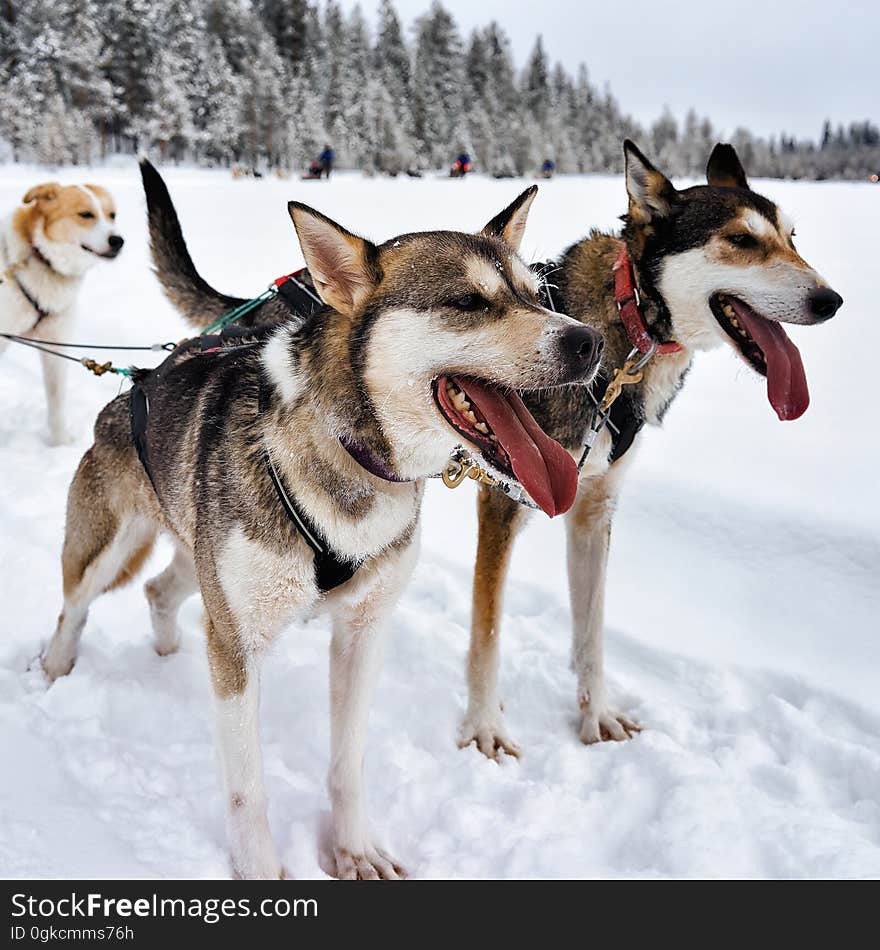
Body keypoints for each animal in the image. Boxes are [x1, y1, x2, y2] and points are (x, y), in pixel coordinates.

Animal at [0, 183, 124, 446]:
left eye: (112, 215)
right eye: (86, 214)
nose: (117, 240)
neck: (38, 256)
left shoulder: (55, 344)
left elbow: (56, 400)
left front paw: (59, 443)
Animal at [41, 165, 604, 884]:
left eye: (539, 296)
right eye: (468, 302)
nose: (587, 340)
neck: (350, 455)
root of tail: (142, 377)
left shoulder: (362, 631)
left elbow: (348, 760)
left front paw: (352, 849)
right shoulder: (239, 646)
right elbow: (246, 788)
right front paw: (260, 873)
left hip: (203, 569)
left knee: (160, 590)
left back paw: (167, 653)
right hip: (110, 549)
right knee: (74, 605)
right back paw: (53, 672)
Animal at [460, 139, 840, 760]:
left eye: (793, 236)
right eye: (741, 240)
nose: (831, 300)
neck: (625, 327)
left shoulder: (593, 509)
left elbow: (592, 629)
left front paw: (597, 714)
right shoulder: (503, 503)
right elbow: (487, 630)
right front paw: (485, 727)